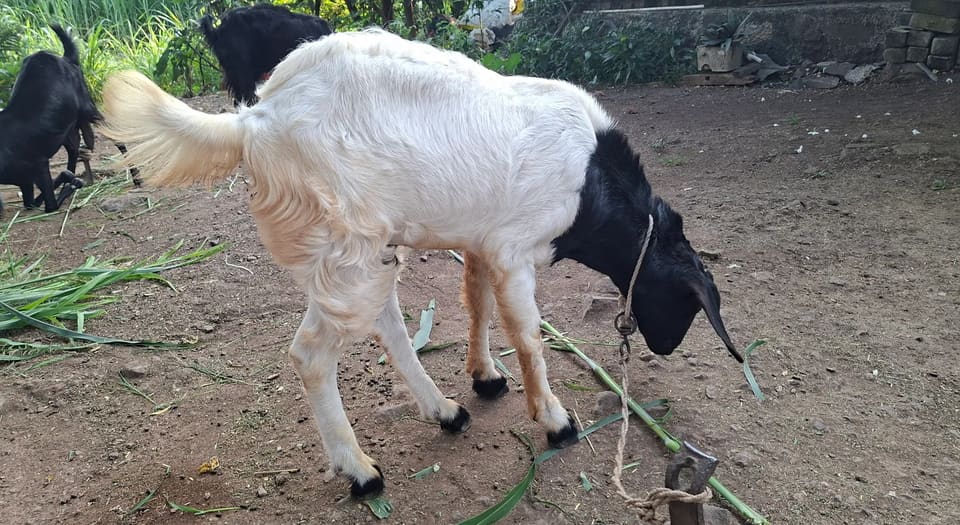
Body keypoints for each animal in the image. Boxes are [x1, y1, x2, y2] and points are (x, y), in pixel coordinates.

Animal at [100, 29, 743, 498]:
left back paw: (445, 411)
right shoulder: (515, 250)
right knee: (312, 354)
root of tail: (254, 120)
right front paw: (556, 421)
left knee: (386, 323)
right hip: (349, 247)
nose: (663, 347)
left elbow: (476, 303)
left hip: (368, 247)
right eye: (689, 304)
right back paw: (360, 470)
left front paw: (484, 377)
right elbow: (528, 335)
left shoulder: (482, 241)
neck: (592, 181)